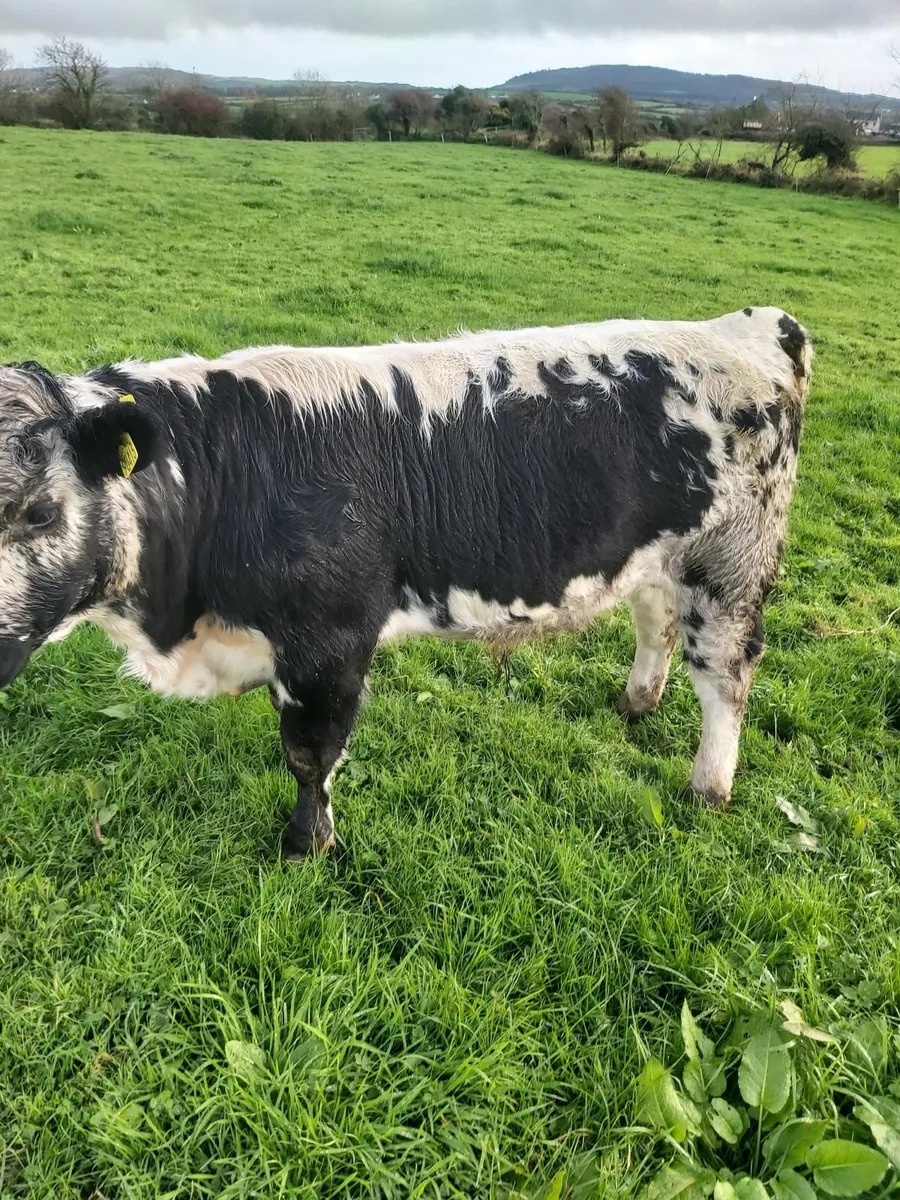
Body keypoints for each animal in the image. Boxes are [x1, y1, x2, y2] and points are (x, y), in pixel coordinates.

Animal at [0, 307, 811, 860]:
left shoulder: (331, 640)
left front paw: (306, 847)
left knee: (727, 672)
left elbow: (310, 755)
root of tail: (752, 327)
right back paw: (637, 700)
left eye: (40, 512)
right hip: (658, 556)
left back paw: (708, 787)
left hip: (731, 563)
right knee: (655, 622)